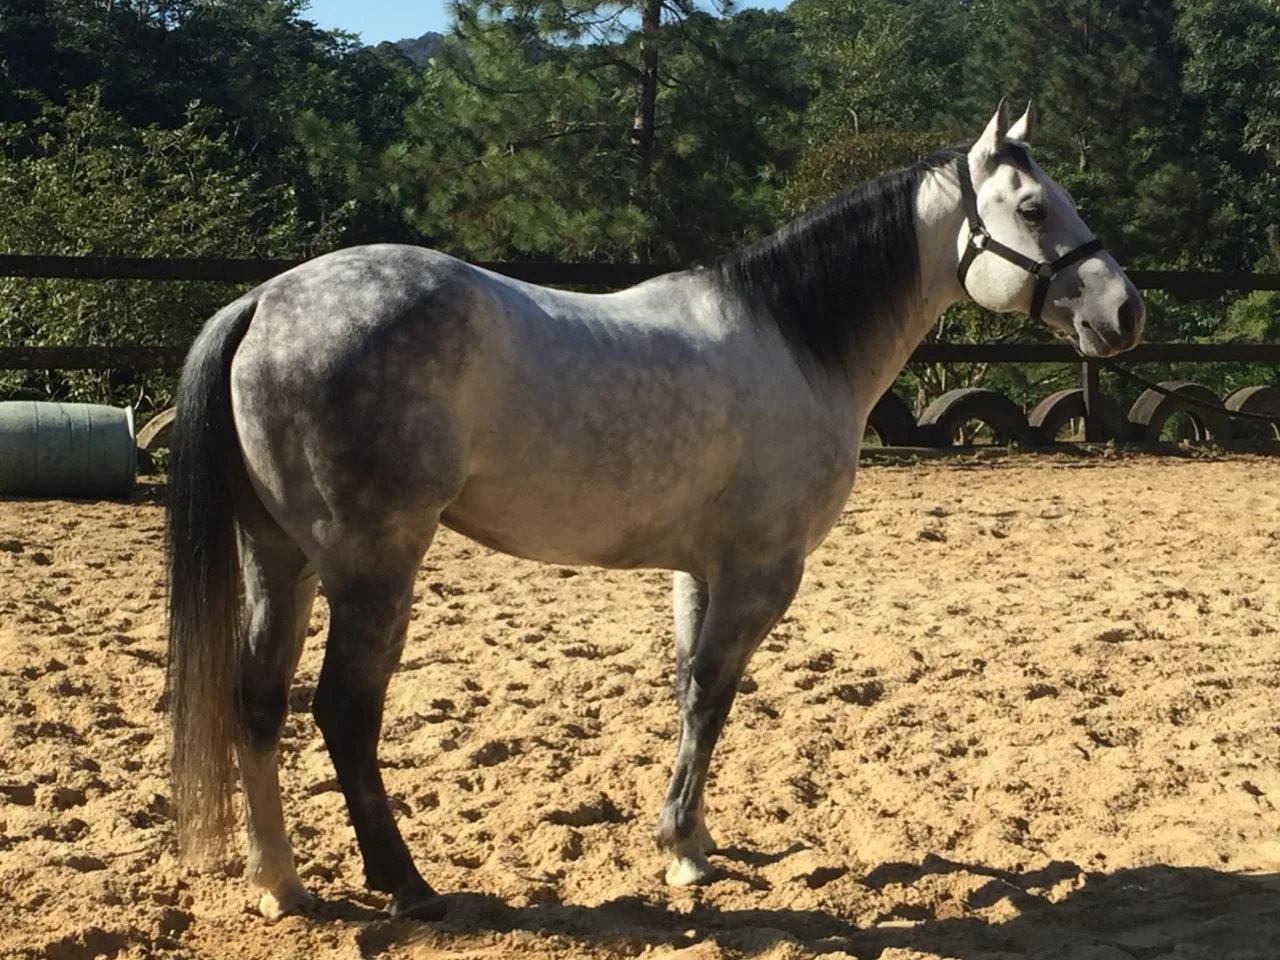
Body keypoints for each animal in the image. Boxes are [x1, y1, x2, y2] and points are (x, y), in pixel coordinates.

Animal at [165, 99, 1145, 922]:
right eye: (1033, 210)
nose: (1124, 311)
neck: (797, 341)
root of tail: (262, 302)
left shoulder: (698, 569)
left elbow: (686, 691)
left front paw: (694, 839)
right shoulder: (761, 572)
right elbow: (713, 693)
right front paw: (679, 848)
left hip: (279, 559)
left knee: (257, 703)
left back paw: (280, 884)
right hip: (372, 569)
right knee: (342, 711)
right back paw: (405, 884)